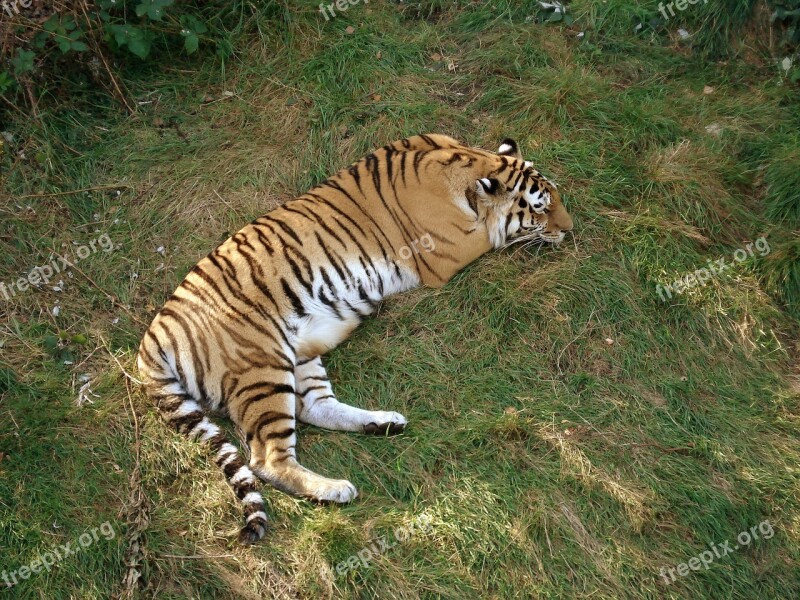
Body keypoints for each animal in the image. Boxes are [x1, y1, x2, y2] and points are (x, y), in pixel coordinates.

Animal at [139, 132, 576, 544]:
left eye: (555, 197)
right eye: (540, 208)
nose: (570, 230)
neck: (466, 161)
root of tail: (152, 338)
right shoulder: (447, 253)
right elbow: (493, 235)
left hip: (297, 356)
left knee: (315, 407)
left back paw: (383, 424)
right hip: (262, 366)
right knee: (267, 459)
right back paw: (337, 489)